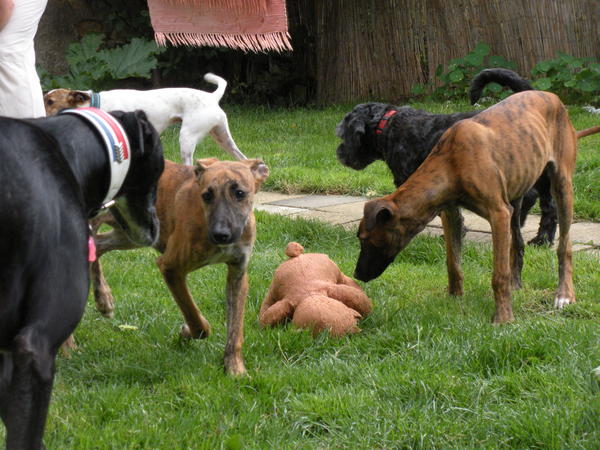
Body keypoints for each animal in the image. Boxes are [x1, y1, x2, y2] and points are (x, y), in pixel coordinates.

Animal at [43, 72, 246, 165]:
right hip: (223, 138)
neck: (97, 104)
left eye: (50, 101)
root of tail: (212, 97)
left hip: (187, 139)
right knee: (242, 158)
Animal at [338, 68, 564, 248]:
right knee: (548, 206)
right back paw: (542, 240)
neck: (386, 125)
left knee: (533, 198)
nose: (339, 154)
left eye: (343, 134)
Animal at [352, 91, 600, 324]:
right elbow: (453, 262)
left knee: (564, 245)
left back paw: (564, 294)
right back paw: (517, 283)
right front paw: (454, 299)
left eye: (364, 239)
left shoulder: (498, 214)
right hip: (516, 194)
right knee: (517, 243)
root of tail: (554, 98)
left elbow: (498, 274)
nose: (357, 274)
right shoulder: (451, 214)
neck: (452, 162)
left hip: (561, 186)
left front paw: (503, 318)